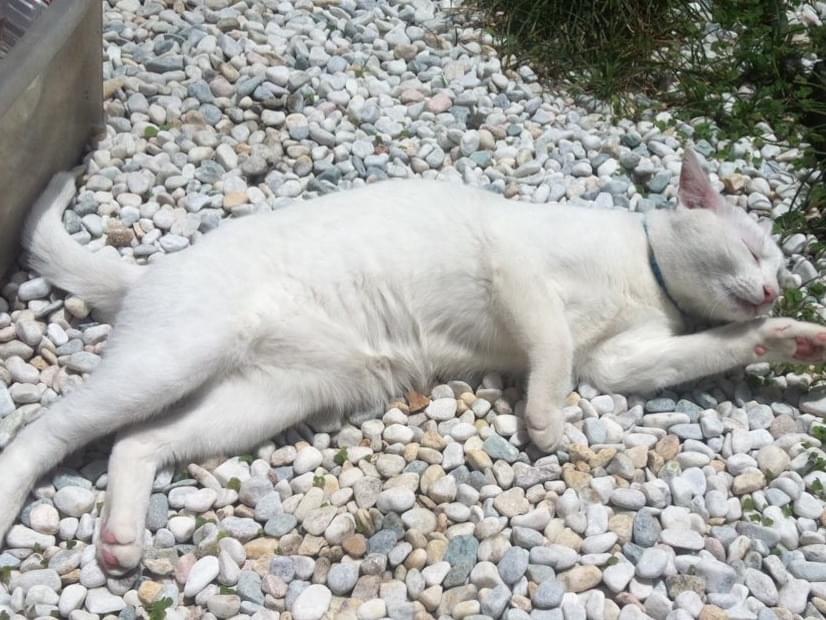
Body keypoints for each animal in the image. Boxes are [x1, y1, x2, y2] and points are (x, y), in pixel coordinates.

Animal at [0, 148, 824, 575]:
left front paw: (791, 338)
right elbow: (553, 344)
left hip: (263, 398)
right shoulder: (518, 267)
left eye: (780, 268)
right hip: (174, 359)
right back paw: (15, 494)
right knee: (48, 430)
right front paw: (544, 421)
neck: (644, 275)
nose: (773, 287)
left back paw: (120, 539)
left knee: (137, 445)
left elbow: (705, 350)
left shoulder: (621, 365)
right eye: (753, 249)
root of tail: (149, 274)